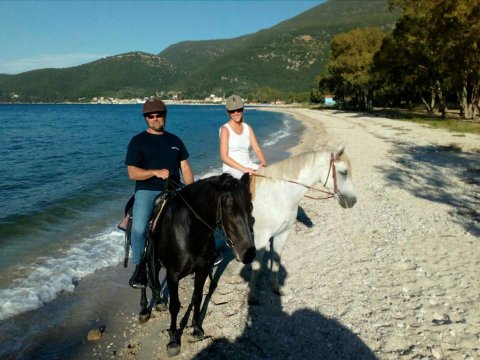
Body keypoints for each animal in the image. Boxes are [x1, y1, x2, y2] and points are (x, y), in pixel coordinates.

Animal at [248, 146, 356, 304]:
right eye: (343, 172)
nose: (353, 201)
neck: (277, 197)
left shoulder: (282, 234)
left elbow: (276, 260)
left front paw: (276, 289)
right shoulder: (261, 238)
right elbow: (256, 265)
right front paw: (252, 297)